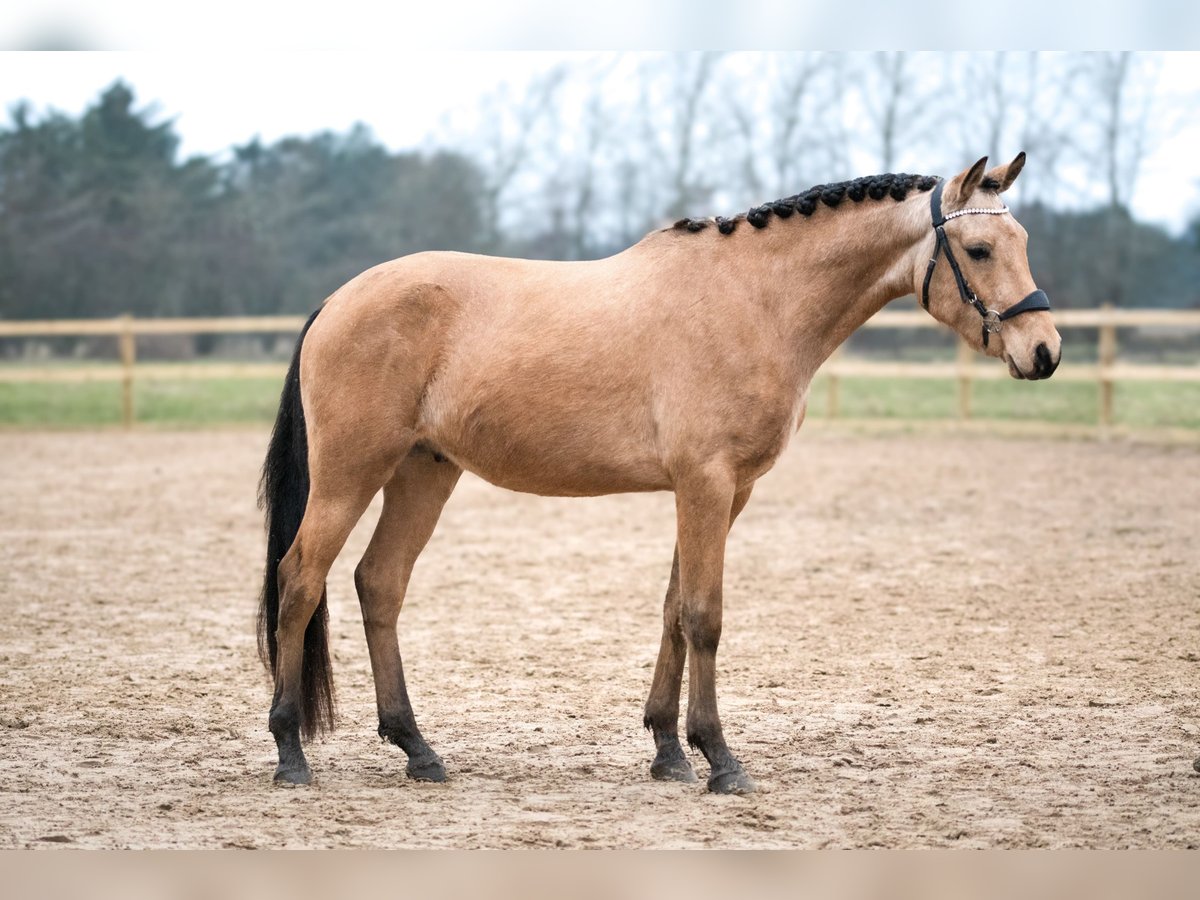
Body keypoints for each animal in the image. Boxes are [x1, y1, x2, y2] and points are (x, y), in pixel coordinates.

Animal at [253, 154, 1060, 796]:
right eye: (979, 248)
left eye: (1023, 242)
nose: (1045, 350)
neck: (757, 299)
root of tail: (337, 301)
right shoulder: (706, 483)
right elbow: (705, 617)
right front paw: (721, 760)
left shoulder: (724, 493)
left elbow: (673, 610)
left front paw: (670, 752)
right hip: (351, 474)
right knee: (300, 580)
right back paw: (291, 751)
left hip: (425, 472)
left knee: (379, 584)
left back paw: (418, 750)